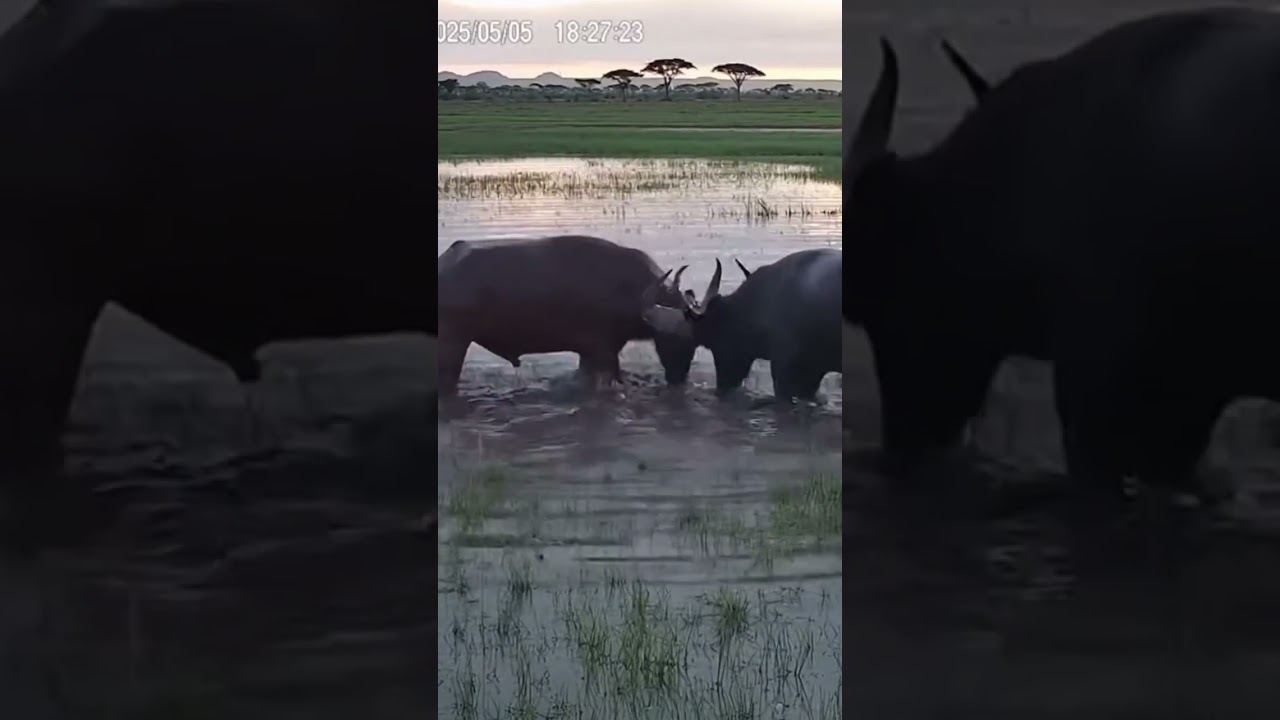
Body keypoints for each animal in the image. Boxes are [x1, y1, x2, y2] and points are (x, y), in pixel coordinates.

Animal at [437, 235, 697, 395]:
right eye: (672, 339)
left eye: (694, 342)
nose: (678, 378)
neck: (629, 287)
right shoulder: (603, 351)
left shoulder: (591, 353)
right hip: (452, 345)